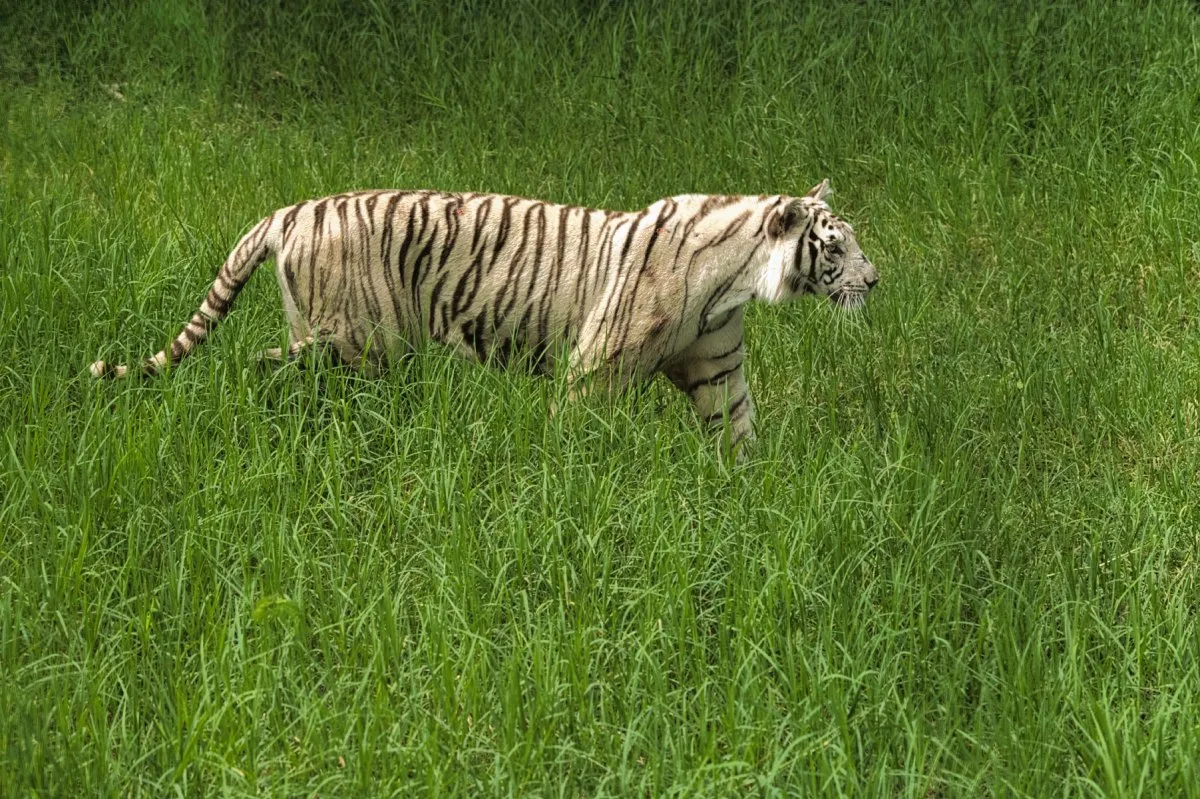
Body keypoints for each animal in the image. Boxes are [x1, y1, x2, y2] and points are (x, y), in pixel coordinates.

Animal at [88, 179, 878, 460]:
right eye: (836, 246)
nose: (876, 280)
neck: (739, 280)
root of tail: (288, 210)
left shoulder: (718, 369)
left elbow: (740, 434)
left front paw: (756, 498)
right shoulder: (595, 365)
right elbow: (572, 430)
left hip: (346, 345)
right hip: (359, 344)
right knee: (268, 370)